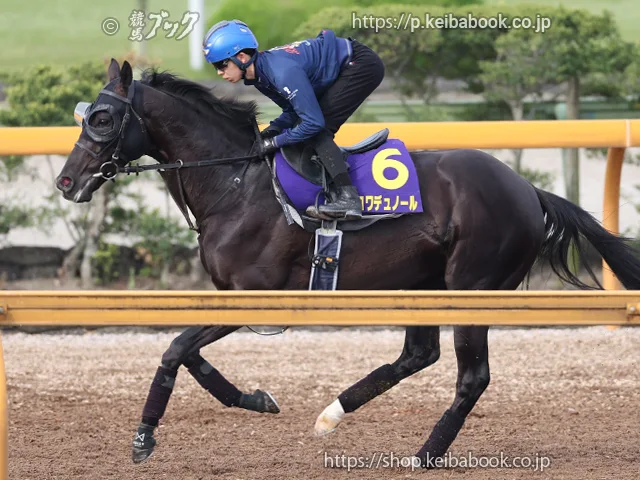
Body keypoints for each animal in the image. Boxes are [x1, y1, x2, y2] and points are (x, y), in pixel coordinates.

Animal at [56, 59, 640, 467]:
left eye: (102, 118)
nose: (65, 181)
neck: (235, 182)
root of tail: (528, 190)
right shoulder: (232, 298)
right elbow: (190, 355)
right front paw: (257, 398)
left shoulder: (255, 296)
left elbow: (175, 350)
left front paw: (143, 438)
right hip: (423, 284)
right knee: (417, 356)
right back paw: (330, 416)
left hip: (473, 285)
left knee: (472, 376)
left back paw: (425, 454)